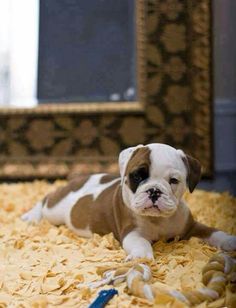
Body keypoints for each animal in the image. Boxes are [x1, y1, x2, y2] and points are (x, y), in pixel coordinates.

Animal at [21, 143, 236, 258]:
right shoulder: (132, 233)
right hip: (55, 210)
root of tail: (78, 179)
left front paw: (229, 240)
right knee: (46, 200)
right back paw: (31, 216)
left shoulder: (191, 227)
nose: (154, 191)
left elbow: (213, 231)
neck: (159, 221)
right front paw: (141, 257)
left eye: (173, 181)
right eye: (138, 176)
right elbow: (141, 243)